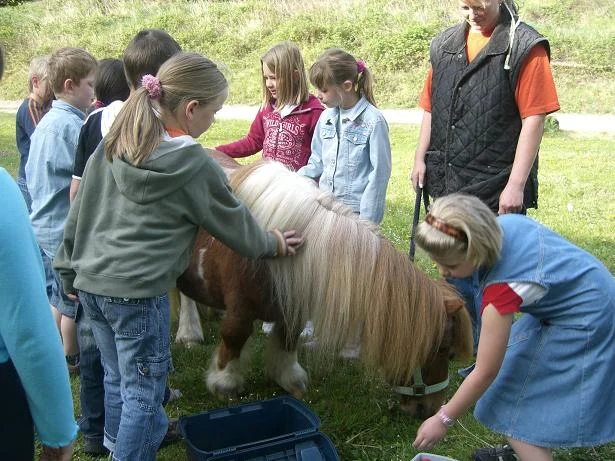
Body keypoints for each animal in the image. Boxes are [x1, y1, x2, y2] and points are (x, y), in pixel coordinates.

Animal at [176, 153, 474, 416]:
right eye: (443, 351)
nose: (430, 409)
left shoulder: (291, 306)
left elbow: (288, 338)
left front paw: (289, 379)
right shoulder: (241, 308)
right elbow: (235, 336)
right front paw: (224, 383)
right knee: (184, 296)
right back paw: (189, 334)